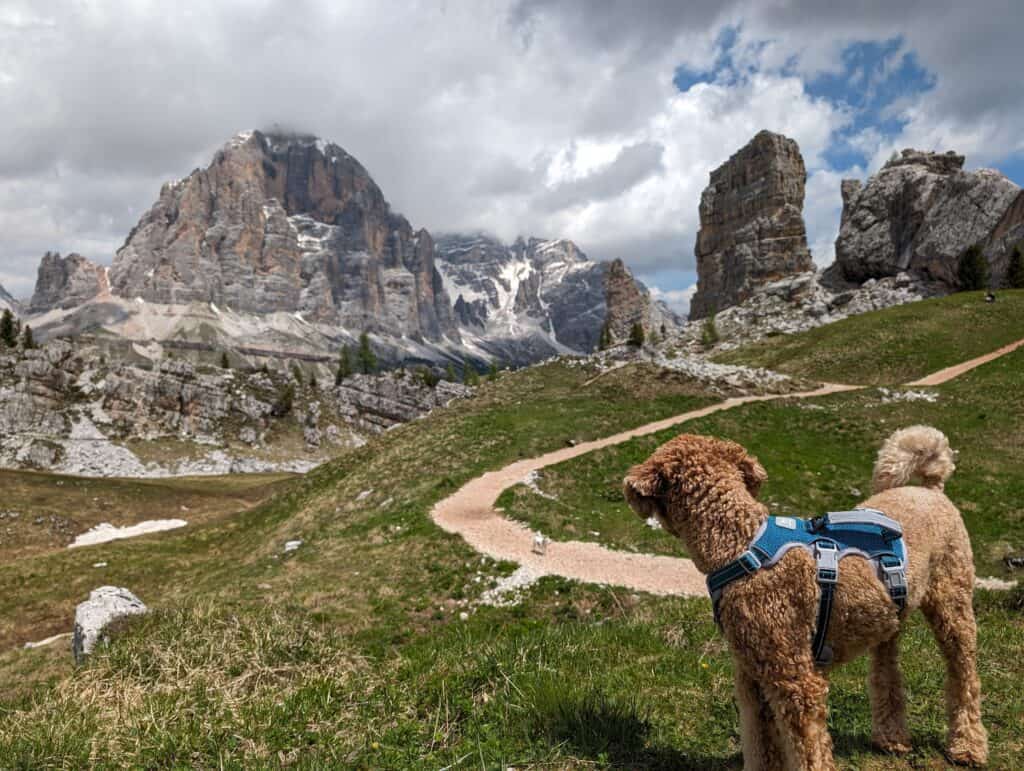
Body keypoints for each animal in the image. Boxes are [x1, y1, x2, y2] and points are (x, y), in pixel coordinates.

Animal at [618, 427, 987, 769]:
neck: (740, 544)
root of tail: (930, 489)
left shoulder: (795, 681)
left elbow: (808, 752)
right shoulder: (752, 677)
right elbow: (760, 745)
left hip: (952, 601)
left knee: (964, 675)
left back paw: (967, 746)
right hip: (887, 615)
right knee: (886, 670)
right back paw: (891, 737)